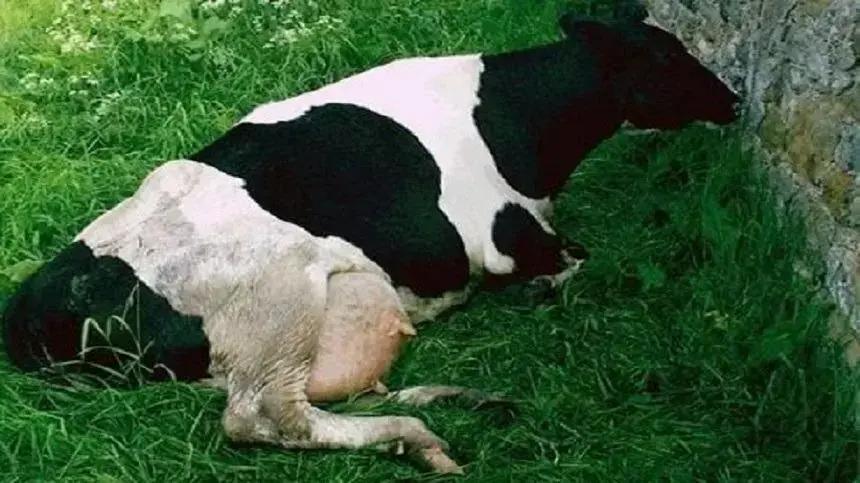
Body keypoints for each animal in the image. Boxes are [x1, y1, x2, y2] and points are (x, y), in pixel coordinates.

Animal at [2, 6, 739, 473]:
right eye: (669, 57)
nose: (734, 102)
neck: (514, 119)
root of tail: (35, 304)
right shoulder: (514, 237)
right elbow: (575, 264)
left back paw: (456, 401)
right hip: (280, 296)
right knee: (267, 415)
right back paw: (414, 436)